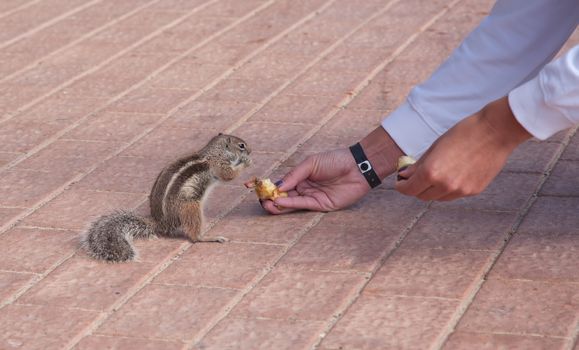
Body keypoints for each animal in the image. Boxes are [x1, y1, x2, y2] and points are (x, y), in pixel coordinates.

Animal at [81, 134, 251, 262]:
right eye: (241, 145)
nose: (250, 151)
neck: (214, 152)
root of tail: (162, 223)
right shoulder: (219, 165)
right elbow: (229, 175)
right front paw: (246, 162)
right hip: (190, 207)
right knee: (194, 236)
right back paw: (209, 237)